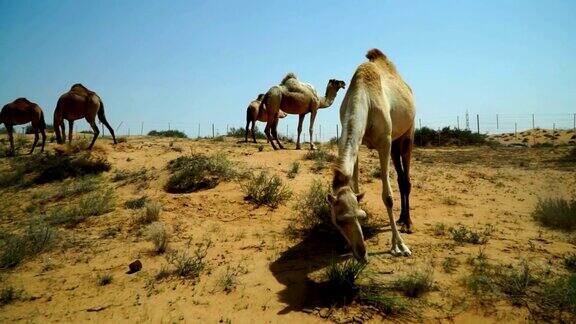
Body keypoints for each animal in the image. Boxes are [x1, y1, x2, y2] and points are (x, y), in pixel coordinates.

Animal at [326, 48, 416, 264]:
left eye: (360, 216)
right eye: (338, 221)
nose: (362, 254)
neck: (364, 97)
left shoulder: (384, 141)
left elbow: (388, 197)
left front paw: (399, 246)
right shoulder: (357, 143)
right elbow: (356, 187)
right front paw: (346, 244)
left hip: (408, 133)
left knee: (406, 179)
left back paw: (408, 224)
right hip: (395, 143)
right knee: (401, 178)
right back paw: (401, 219)